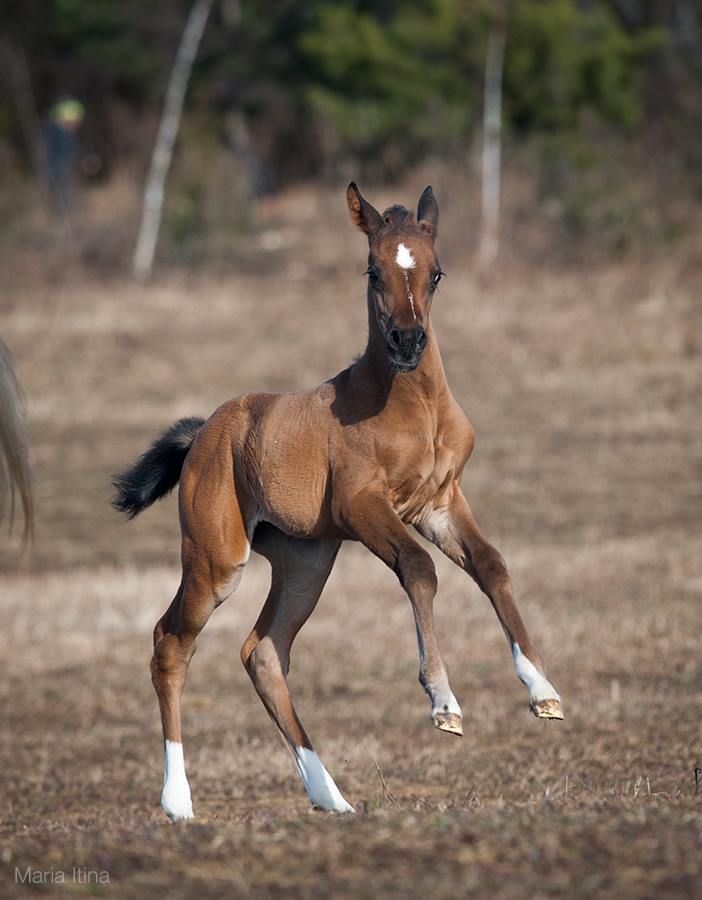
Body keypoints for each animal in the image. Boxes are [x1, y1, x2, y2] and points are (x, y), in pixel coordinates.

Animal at [115, 185, 568, 824]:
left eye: (436, 272)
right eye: (373, 269)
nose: (408, 341)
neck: (411, 405)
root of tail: (203, 431)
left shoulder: (440, 503)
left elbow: (492, 565)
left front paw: (543, 691)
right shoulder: (364, 506)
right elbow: (420, 569)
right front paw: (444, 704)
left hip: (306, 562)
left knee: (264, 652)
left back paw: (331, 796)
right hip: (217, 558)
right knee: (171, 642)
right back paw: (178, 801)